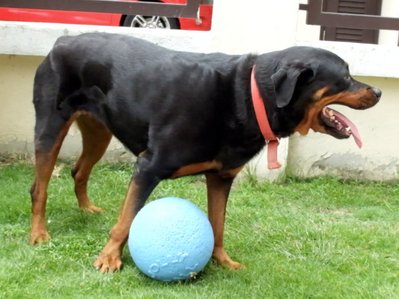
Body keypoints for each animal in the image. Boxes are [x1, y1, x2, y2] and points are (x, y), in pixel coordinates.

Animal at [30, 32, 382, 272]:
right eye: (345, 76)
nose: (378, 91)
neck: (250, 97)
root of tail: (62, 42)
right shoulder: (148, 167)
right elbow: (126, 219)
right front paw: (109, 257)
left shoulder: (221, 177)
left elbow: (218, 224)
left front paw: (222, 260)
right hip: (50, 127)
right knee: (39, 187)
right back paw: (38, 233)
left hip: (99, 131)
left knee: (79, 170)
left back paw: (87, 208)